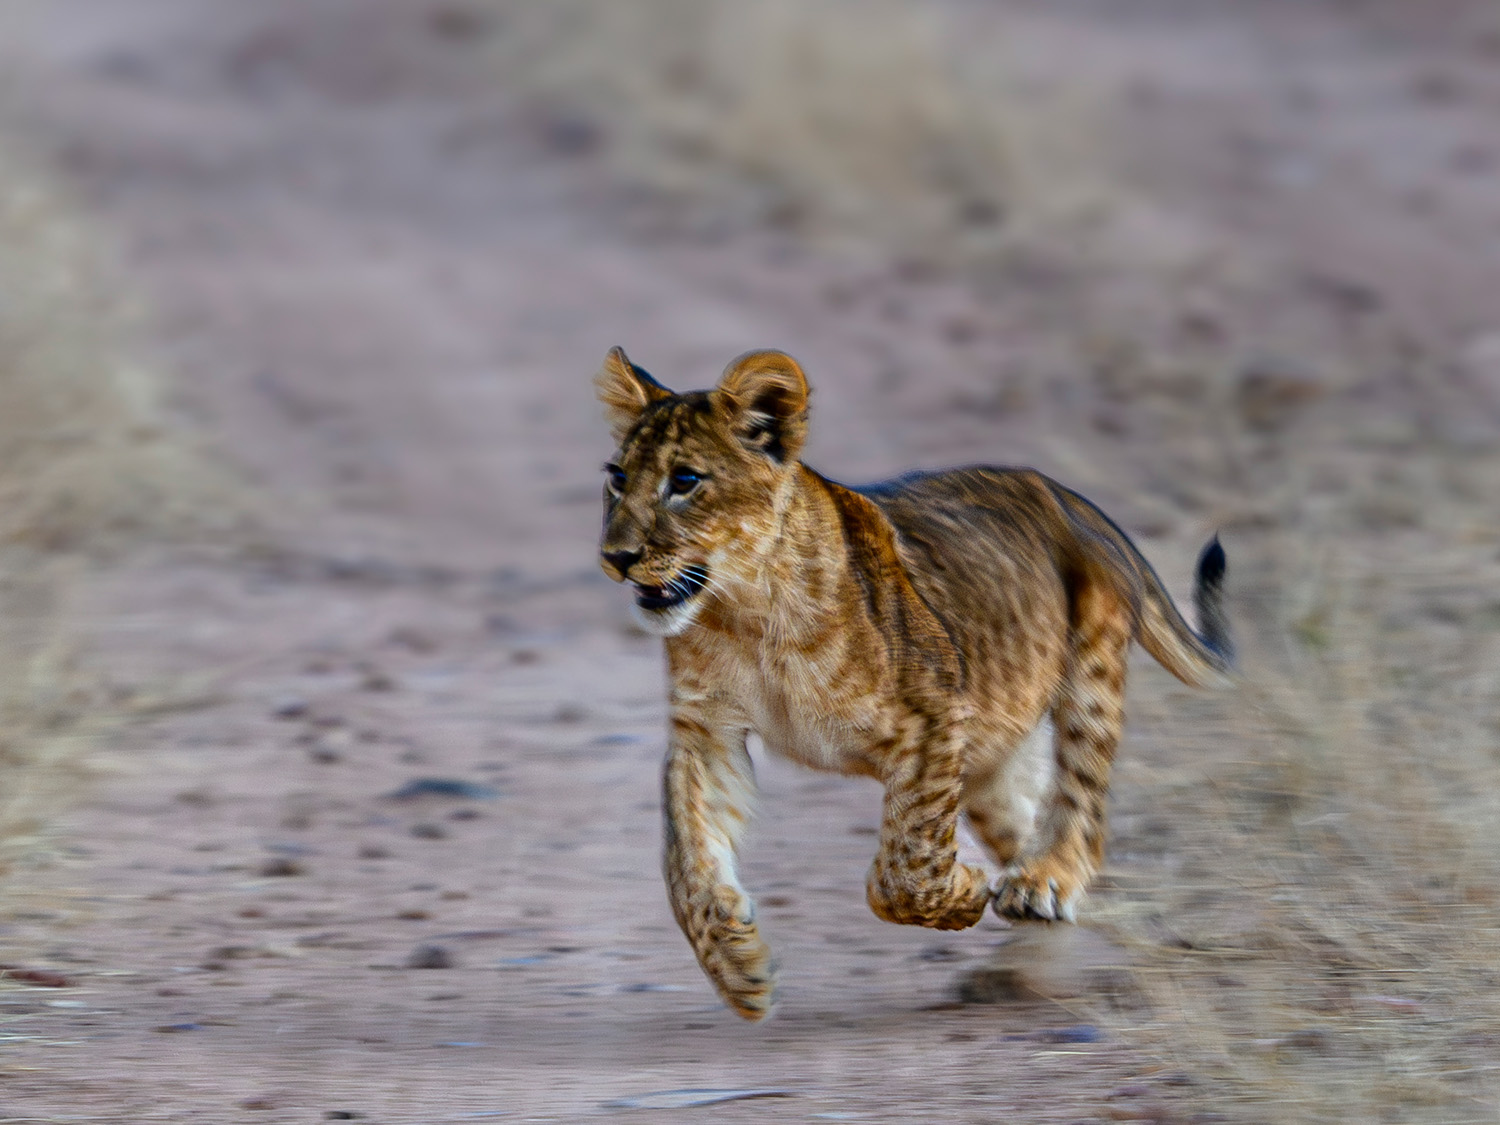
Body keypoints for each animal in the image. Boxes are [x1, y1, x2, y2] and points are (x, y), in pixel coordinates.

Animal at [595, 346, 1232, 1020]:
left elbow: (906, 865)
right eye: (617, 476)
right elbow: (686, 857)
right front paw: (738, 967)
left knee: (1082, 811)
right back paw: (1024, 965)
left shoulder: (933, 713)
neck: (744, 613)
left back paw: (1041, 884)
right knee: (1028, 821)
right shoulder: (706, 730)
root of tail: (1069, 496)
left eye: (685, 481)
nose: (616, 557)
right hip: (991, 753)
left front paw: (962, 893)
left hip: (1089, 674)